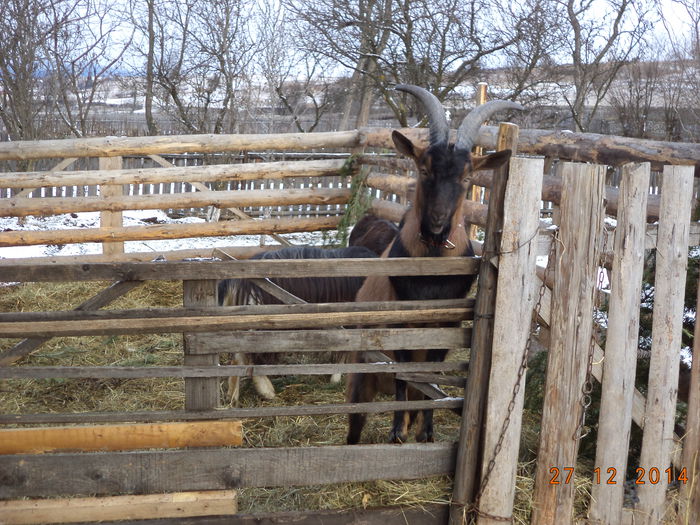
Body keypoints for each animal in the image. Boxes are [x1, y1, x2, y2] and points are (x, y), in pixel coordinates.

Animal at [348, 85, 524, 442]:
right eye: (425, 169)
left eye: (467, 176)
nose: (437, 221)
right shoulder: (401, 322)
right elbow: (405, 374)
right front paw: (397, 431)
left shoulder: (447, 327)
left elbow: (431, 376)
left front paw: (425, 432)